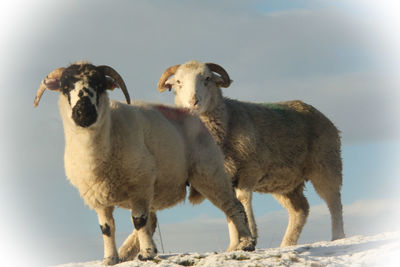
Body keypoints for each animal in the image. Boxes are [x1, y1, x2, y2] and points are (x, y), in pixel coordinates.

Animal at [32, 61, 255, 264]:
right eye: (65, 87)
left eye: (99, 85)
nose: (83, 113)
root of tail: (192, 115)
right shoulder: (98, 198)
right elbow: (107, 228)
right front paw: (110, 259)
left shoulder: (139, 185)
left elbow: (139, 221)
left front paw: (146, 253)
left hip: (209, 171)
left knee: (233, 206)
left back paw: (246, 243)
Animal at [158, 59, 346, 248]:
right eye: (178, 82)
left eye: (207, 78)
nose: (193, 102)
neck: (227, 122)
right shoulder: (223, 177)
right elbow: (231, 207)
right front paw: (234, 245)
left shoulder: (250, 170)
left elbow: (243, 200)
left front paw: (249, 238)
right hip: (285, 182)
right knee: (300, 209)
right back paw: (287, 244)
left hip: (326, 164)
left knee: (334, 201)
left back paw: (338, 237)